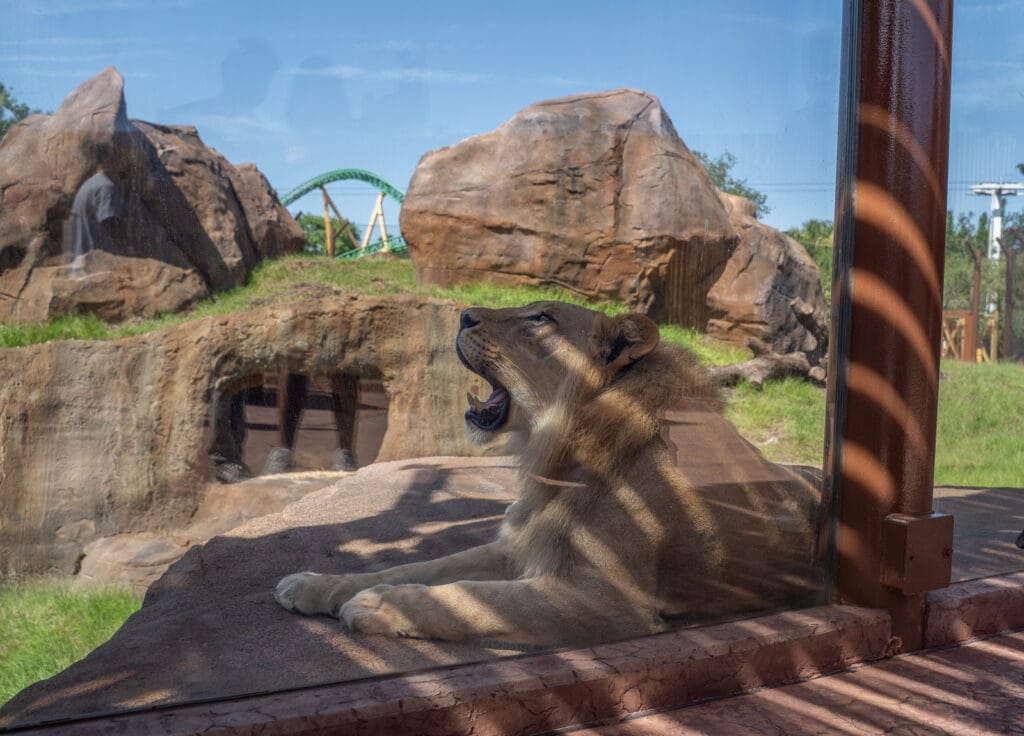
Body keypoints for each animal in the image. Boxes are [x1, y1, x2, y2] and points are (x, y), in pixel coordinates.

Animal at [275, 301, 822, 646]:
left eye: (541, 318)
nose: (463, 315)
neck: (555, 450)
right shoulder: (517, 547)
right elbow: (417, 567)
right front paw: (316, 585)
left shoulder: (605, 598)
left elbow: (471, 599)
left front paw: (380, 606)